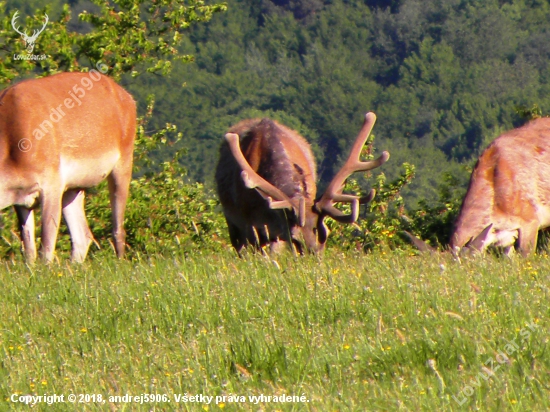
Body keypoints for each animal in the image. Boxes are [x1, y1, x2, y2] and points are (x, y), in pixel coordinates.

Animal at [0, 71, 137, 262]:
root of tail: (128, 97)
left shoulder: (51, 185)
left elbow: (46, 248)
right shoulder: (21, 199)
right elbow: (29, 251)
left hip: (123, 163)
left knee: (118, 230)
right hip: (73, 188)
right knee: (83, 236)